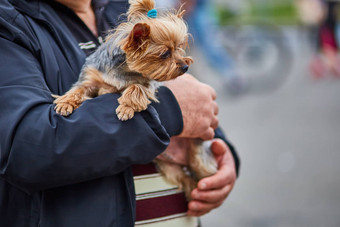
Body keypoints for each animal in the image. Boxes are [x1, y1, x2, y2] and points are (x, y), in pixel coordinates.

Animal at [53, 0, 218, 199]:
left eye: (179, 47)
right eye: (165, 53)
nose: (186, 66)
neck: (124, 69)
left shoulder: (149, 84)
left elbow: (135, 88)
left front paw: (125, 107)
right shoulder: (90, 78)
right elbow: (78, 89)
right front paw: (65, 102)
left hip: (199, 157)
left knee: (203, 171)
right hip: (169, 167)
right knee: (186, 179)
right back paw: (193, 191)